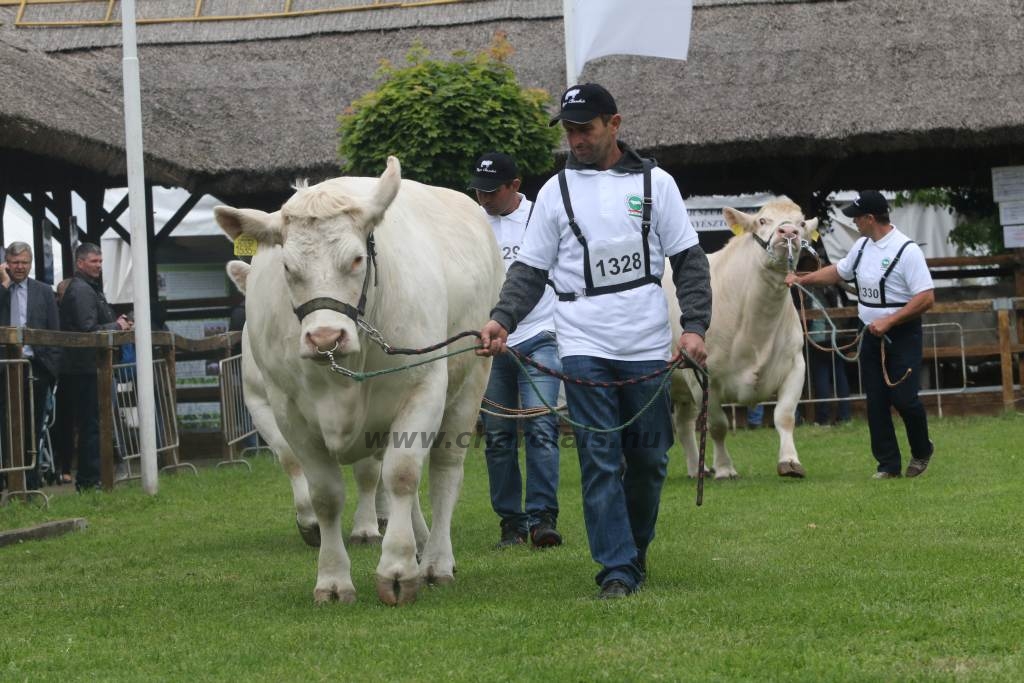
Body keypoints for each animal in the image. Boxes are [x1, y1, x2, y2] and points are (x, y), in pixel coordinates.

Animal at [216, 156, 503, 602]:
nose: (324, 338)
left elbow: (401, 475)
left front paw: (398, 568)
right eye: (287, 266)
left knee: (443, 472)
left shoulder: (422, 388)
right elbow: (323, 492)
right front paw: (333, 578)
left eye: (355, 259)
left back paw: (436, 560)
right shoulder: (281, 407)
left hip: (470, 380)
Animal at [667, 197, 819, 481]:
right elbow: (717, 425)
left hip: (682, 387)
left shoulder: (795, 365)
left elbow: (784, 417)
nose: (788, 232)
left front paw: (790, 461)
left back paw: (696, 468)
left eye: (802, 223)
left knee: (683, 424)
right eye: (762, 220)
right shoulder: (701, 375)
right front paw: (725, 468)